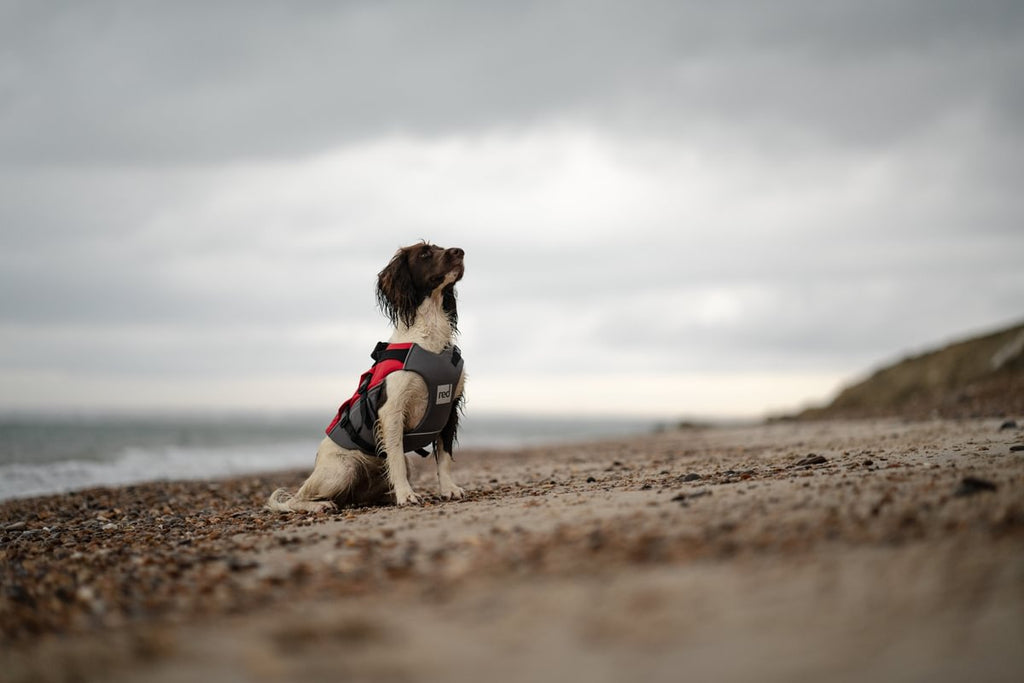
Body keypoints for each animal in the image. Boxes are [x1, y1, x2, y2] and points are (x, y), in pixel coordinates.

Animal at [268, 241, 468, 511]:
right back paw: (319, 505)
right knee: (296, 499)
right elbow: (395, 457)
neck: (429, 339)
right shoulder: (391, 410)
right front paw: (407, 495)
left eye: (441, 247)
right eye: (425, 253)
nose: (460, 251)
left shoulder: (449, 408)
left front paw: (448, 489)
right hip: (341, 469)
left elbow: (444, 457)